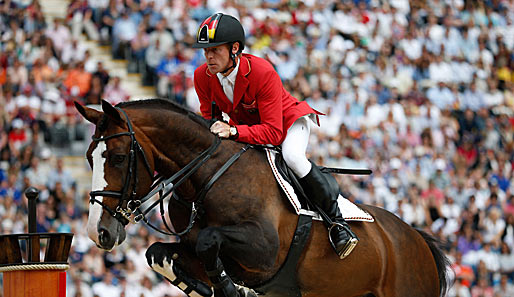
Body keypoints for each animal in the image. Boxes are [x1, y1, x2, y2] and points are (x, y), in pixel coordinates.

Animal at [73, 99, 448, 296]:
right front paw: (208, 286)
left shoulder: (264, 251)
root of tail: (418, 238)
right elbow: (159, 254)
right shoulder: (192, 248)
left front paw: (231, 290)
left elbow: (210, 240)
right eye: (90, 158)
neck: (205, 178)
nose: (98, 232)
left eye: (117, 158)